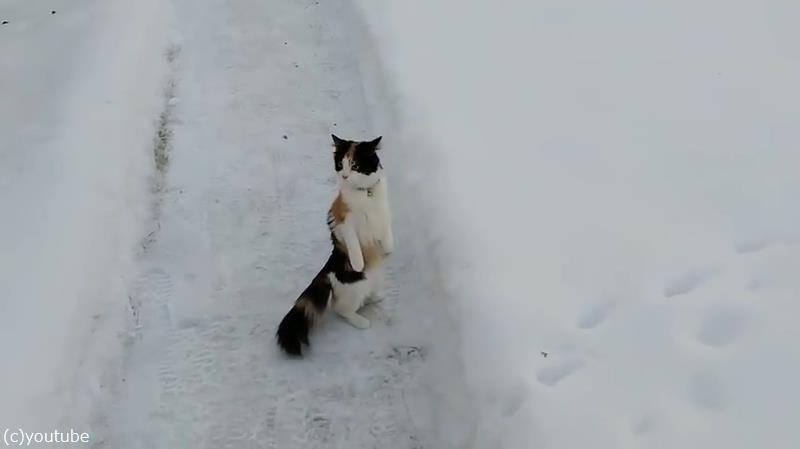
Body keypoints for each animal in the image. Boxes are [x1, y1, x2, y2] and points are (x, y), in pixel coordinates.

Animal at [276, 134, 394, 356]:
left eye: (355, 166)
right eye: (341, 165)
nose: (345, 176)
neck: (366, 193)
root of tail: (327, 274)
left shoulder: (383, 213)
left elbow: (387, 230)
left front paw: (389, 247)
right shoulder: (342, 221)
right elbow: (354, 244)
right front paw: (357, 263)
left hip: (375, 279)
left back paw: (376, 297)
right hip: (355, 290)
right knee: (342, 310)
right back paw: (361, 321)